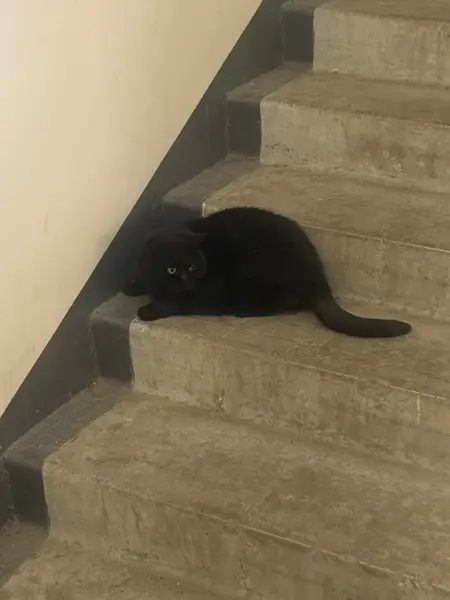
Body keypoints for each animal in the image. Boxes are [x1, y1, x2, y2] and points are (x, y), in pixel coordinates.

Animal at [123, 206, 411, 338]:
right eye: (172, 269)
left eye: (193, 267)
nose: (187, 280)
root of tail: (320, 277)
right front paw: (132, 286)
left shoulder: (203, 296)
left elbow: (175, 302)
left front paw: (147, 309)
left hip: (257, 268)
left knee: (281, 301)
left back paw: (243, 310)